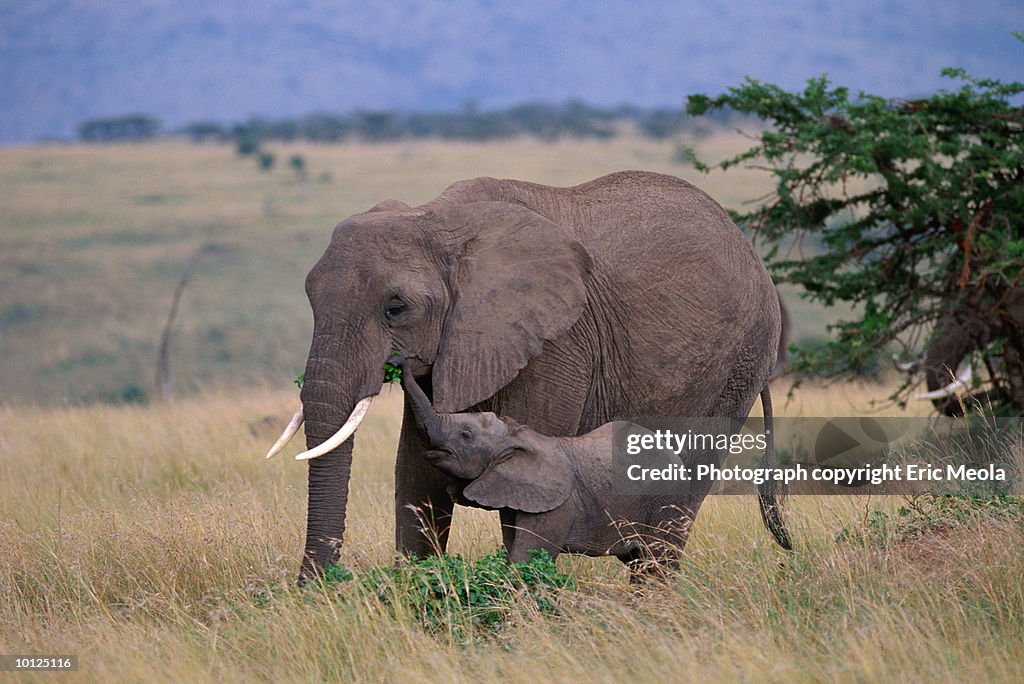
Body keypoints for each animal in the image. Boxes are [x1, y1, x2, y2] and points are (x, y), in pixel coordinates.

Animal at [395, 358, 700, 577]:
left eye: (465, 435)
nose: (400, 361)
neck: (516, 436)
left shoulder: (557, 507)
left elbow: (525, 560)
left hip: (665, 501)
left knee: (656, 559)